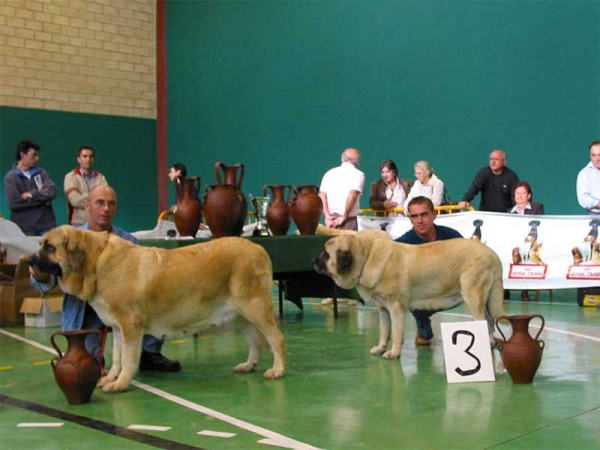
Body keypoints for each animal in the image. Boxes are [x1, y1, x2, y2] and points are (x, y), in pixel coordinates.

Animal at [29, 227, 288, 392]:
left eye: (49, 247)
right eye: (40, 245)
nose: (28, 261)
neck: (96, 261)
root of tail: (258, 247)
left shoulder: (130, 325)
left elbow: (128, 358)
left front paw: (120, 384)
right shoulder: (117, 327)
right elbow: (117, 357)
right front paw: (111, 378)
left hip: (255, 308)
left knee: (276, 338)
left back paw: (278, 370)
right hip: (239, 316)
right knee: (255, 340)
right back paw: (249, 365)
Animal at [314, 236, 506, 358]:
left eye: (325, 254)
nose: (312, 261)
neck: (366, 258)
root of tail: (493, 254)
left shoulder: (395, 308)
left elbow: (396, 332)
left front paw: (394, 353)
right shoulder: (383, 309)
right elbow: (384, 331)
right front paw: (381, 348)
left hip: (472, 297)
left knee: (483, 321)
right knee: (489, 321)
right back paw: (490, 343)